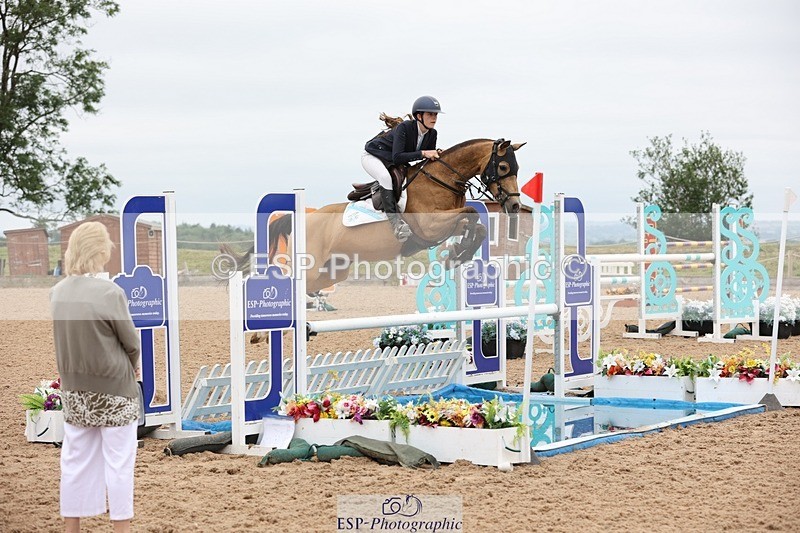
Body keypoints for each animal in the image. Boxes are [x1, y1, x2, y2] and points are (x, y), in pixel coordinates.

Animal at [223, 138, 524, 294]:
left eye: (517, 168)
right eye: (504, 166)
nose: (514, 206)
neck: (441, 179)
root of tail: (305, 218)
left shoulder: (444, 224)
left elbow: (476, 225)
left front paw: (458, 254)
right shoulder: (430, 226)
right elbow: (472, 212)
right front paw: (457, 253)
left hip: (335, 270)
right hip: (311, 264)